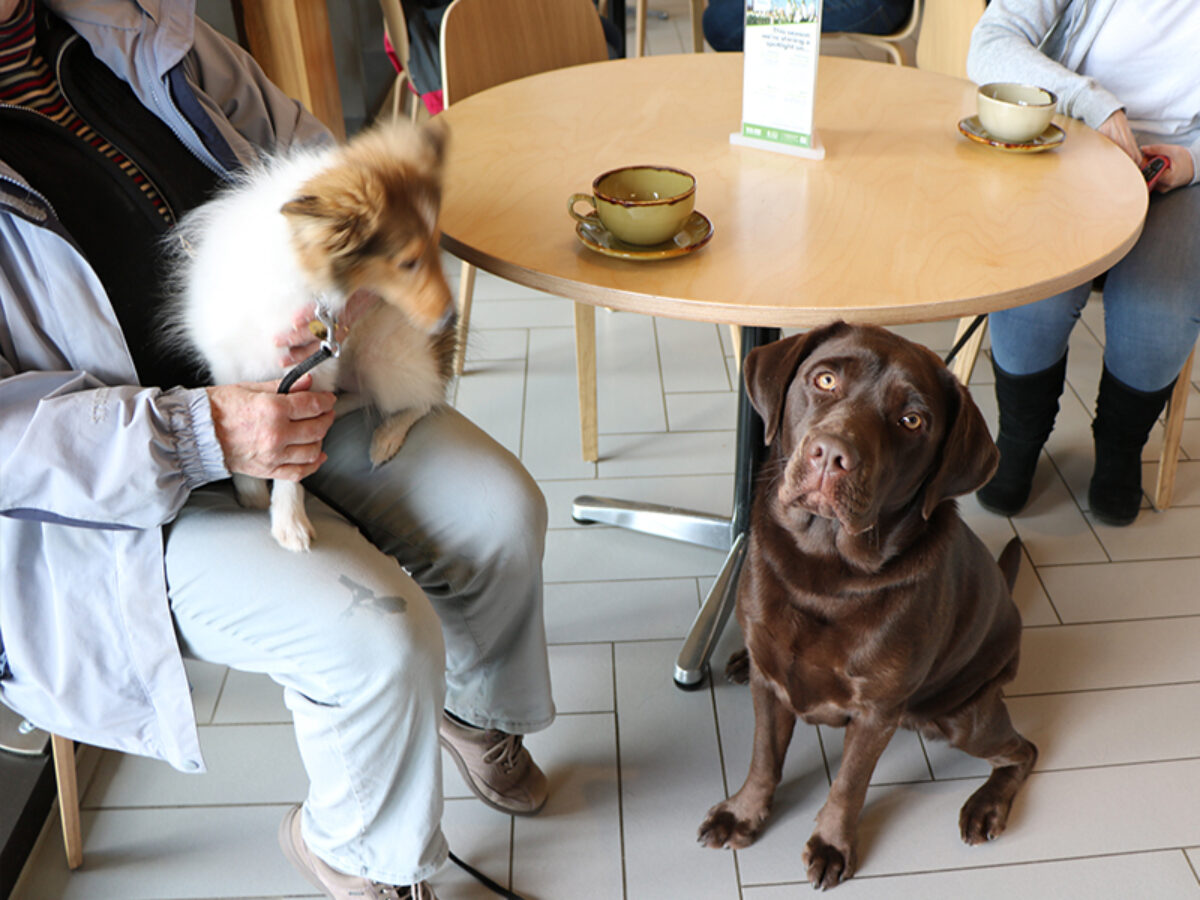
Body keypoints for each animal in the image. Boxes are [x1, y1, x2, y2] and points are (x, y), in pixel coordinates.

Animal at [162, 116, 451, 554]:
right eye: (408, 262)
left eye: (437, 247)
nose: (452, 317)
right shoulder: (230, 362)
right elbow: (232, 421)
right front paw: (250, 491)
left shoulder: (312, 365)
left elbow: (293, 463)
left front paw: (289, 521)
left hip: (385, 356)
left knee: (424, 397)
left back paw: (384, 437)